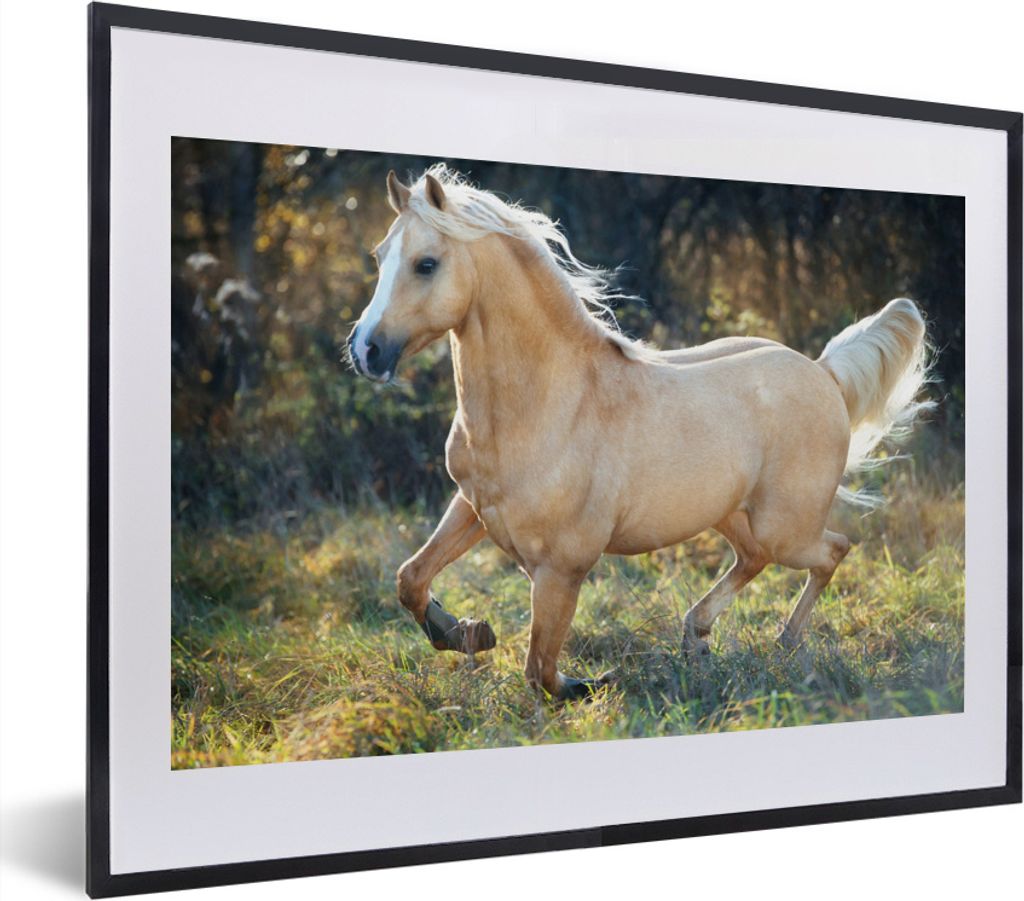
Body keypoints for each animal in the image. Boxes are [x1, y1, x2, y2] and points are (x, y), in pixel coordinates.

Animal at [346, 165, 930, 701]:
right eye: (379, 255)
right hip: (729, 514)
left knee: (833, 550)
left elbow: (541, 673)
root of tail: (824, 373)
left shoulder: (562, 567)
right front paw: (468, 632)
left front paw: (589, 683)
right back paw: (697, 636)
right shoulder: (472, 507)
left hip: (784, 526)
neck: (546, 406)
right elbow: (411, 579)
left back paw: (783, 643)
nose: (365, 350)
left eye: (426, 264)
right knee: (755, 559)